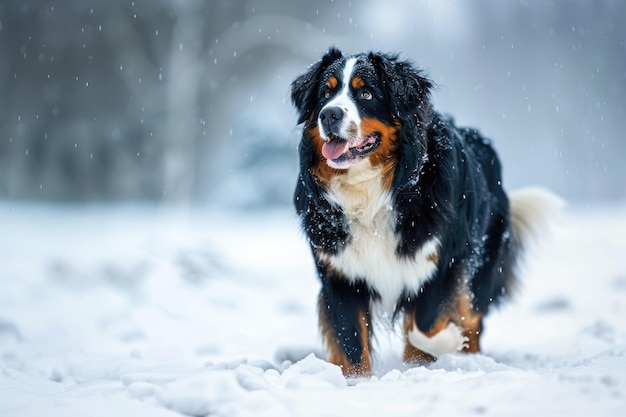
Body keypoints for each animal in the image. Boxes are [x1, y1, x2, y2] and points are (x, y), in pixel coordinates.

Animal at [290, 47, 560, 376]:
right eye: (325, 94)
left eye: (366, 93)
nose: (329, 114)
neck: (373, 191)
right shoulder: (340, 274)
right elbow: (352, 343)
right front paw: (358, 382)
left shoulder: (442, 262)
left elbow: (424, 326)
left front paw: (442, 347)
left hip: (479, 268)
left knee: (471, 318)